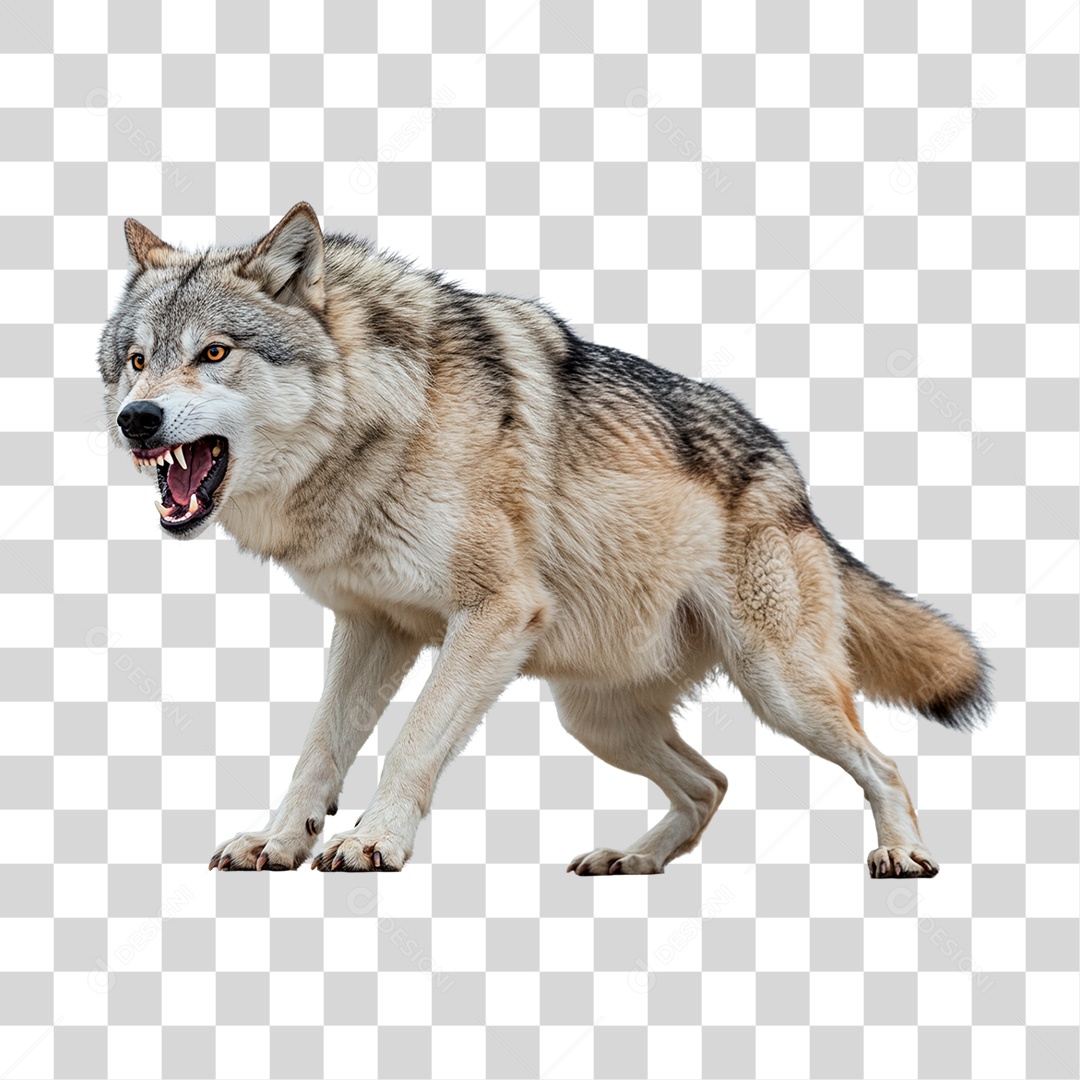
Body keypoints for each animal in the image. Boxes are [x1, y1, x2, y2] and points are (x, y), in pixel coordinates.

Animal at [96, 203, 992, 878]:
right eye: (136, 361)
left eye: (214, 352)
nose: (135, 421)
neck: (386, 420)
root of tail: (796, 480)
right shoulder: (372, 628)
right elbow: (319, 748)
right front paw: (280, 840)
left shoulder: (494, 614)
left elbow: (411, 742)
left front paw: (374, 840)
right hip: (593, 718)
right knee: (711, 782)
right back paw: (632, 860)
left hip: (780, 689)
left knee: (883, 765)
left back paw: (903, 857)